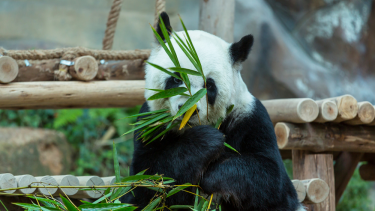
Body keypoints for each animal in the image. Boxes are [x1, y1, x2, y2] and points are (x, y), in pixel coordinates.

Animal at [122, 12, 306, 210]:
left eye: (208, 85)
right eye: (177, 79)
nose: (188, 110)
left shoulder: (250, 117)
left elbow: (270, 177)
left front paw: (213, 178)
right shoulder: (150, 122)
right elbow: (146, 179)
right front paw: (206, 141)